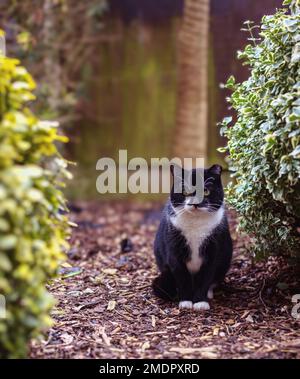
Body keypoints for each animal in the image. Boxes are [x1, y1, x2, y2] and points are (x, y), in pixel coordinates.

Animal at [152, 164, 232, 312]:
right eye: (184, 191)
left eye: (205, 191)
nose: (195, 203)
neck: (195, 224)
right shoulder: (174, 251)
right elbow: (182, 277)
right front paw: (186, 301)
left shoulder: (213, 251)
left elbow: (206, 276)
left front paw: (201, 302)